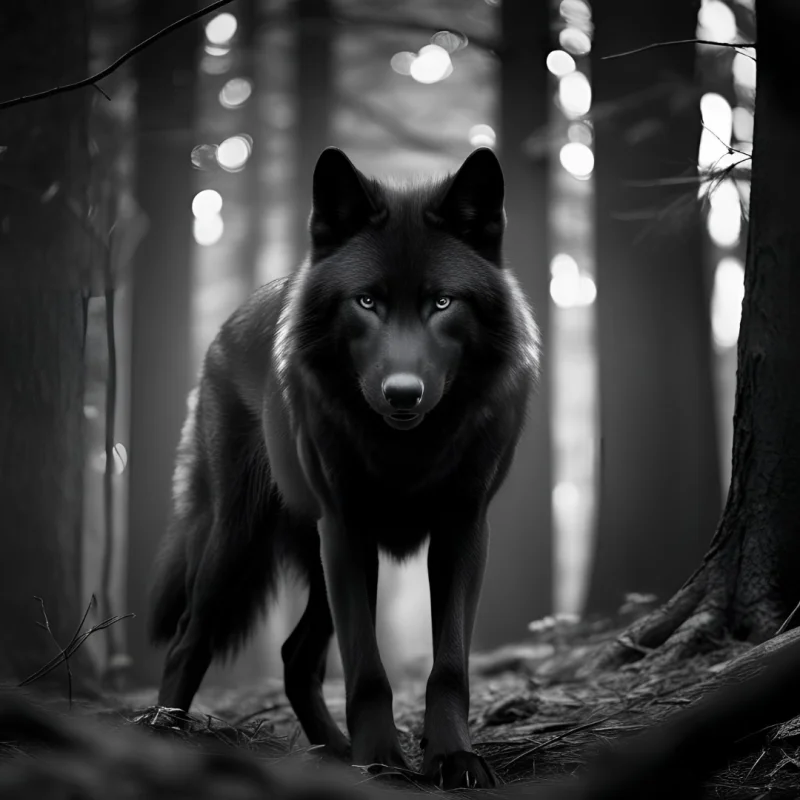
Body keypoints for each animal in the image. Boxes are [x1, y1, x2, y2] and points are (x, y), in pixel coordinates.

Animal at [149, 146, 541, 789]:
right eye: (367, 302)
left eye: (442, 302)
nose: (402, 393)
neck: (408, 450)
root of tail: (232, 321)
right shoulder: (348, 531)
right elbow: (368, 671)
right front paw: (379, 760)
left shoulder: (462, 529)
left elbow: (449, 667)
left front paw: (452, 758)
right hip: (239, 540)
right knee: (189, 640)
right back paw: (164, 735)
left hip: (313, 558)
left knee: (295, 657)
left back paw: (332, 750)